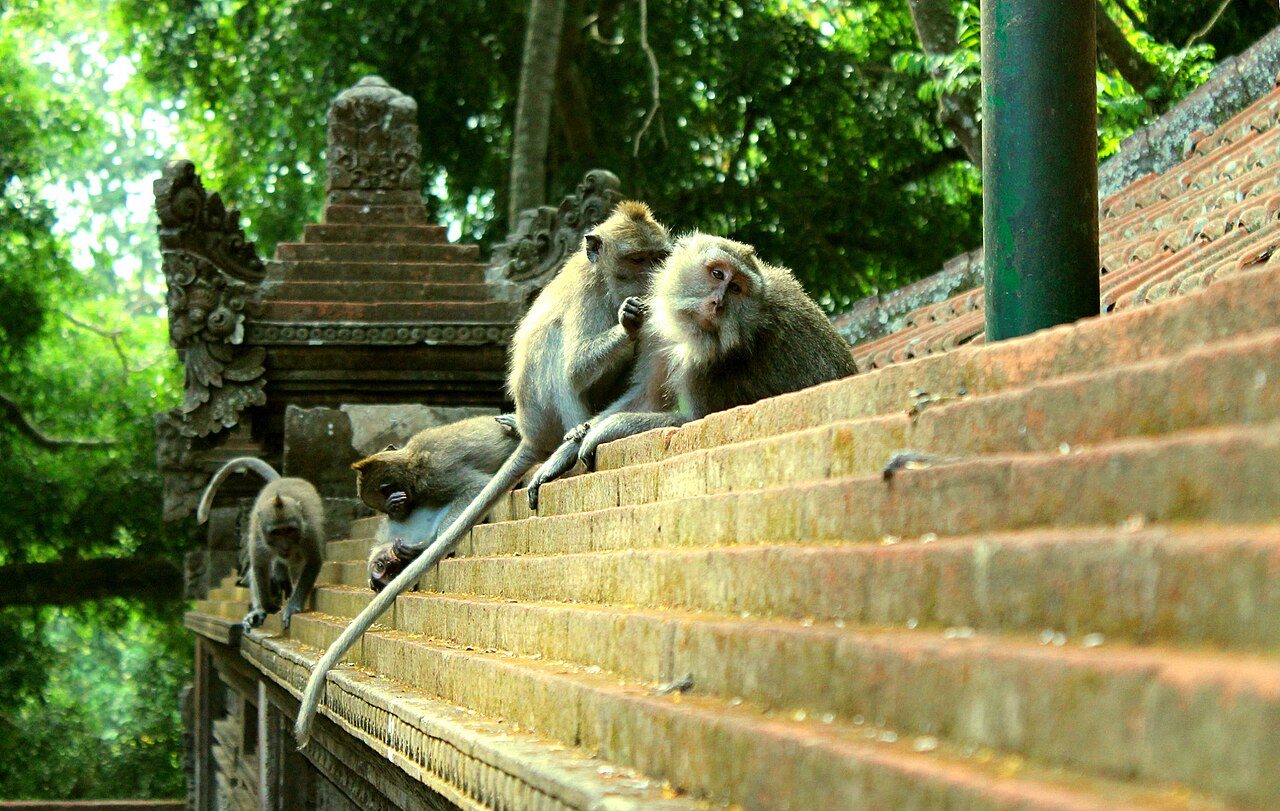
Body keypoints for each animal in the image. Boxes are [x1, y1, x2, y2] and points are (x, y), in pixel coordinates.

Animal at [197, 458, 325, 632]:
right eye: (276, 533)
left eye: (289, 530)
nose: (285, 546)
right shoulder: (258, 535)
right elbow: (259, 567)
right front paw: (265, 606)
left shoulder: (309, 533)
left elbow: (313, 561)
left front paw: (293, 606)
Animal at [358, 414, 521, 591]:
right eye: (390, 573)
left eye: (381, 566)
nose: (390, 562)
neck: (411, 462)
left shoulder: (435, 476)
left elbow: (477, 487)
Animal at [526, 232, 859, 504]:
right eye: (716, 273)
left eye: (736, 288)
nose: (718, 303)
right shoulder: (657, 334)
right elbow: (646, 397)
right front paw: (564, 451)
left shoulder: (712, 366)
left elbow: (693, 421)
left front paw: (606, 429)